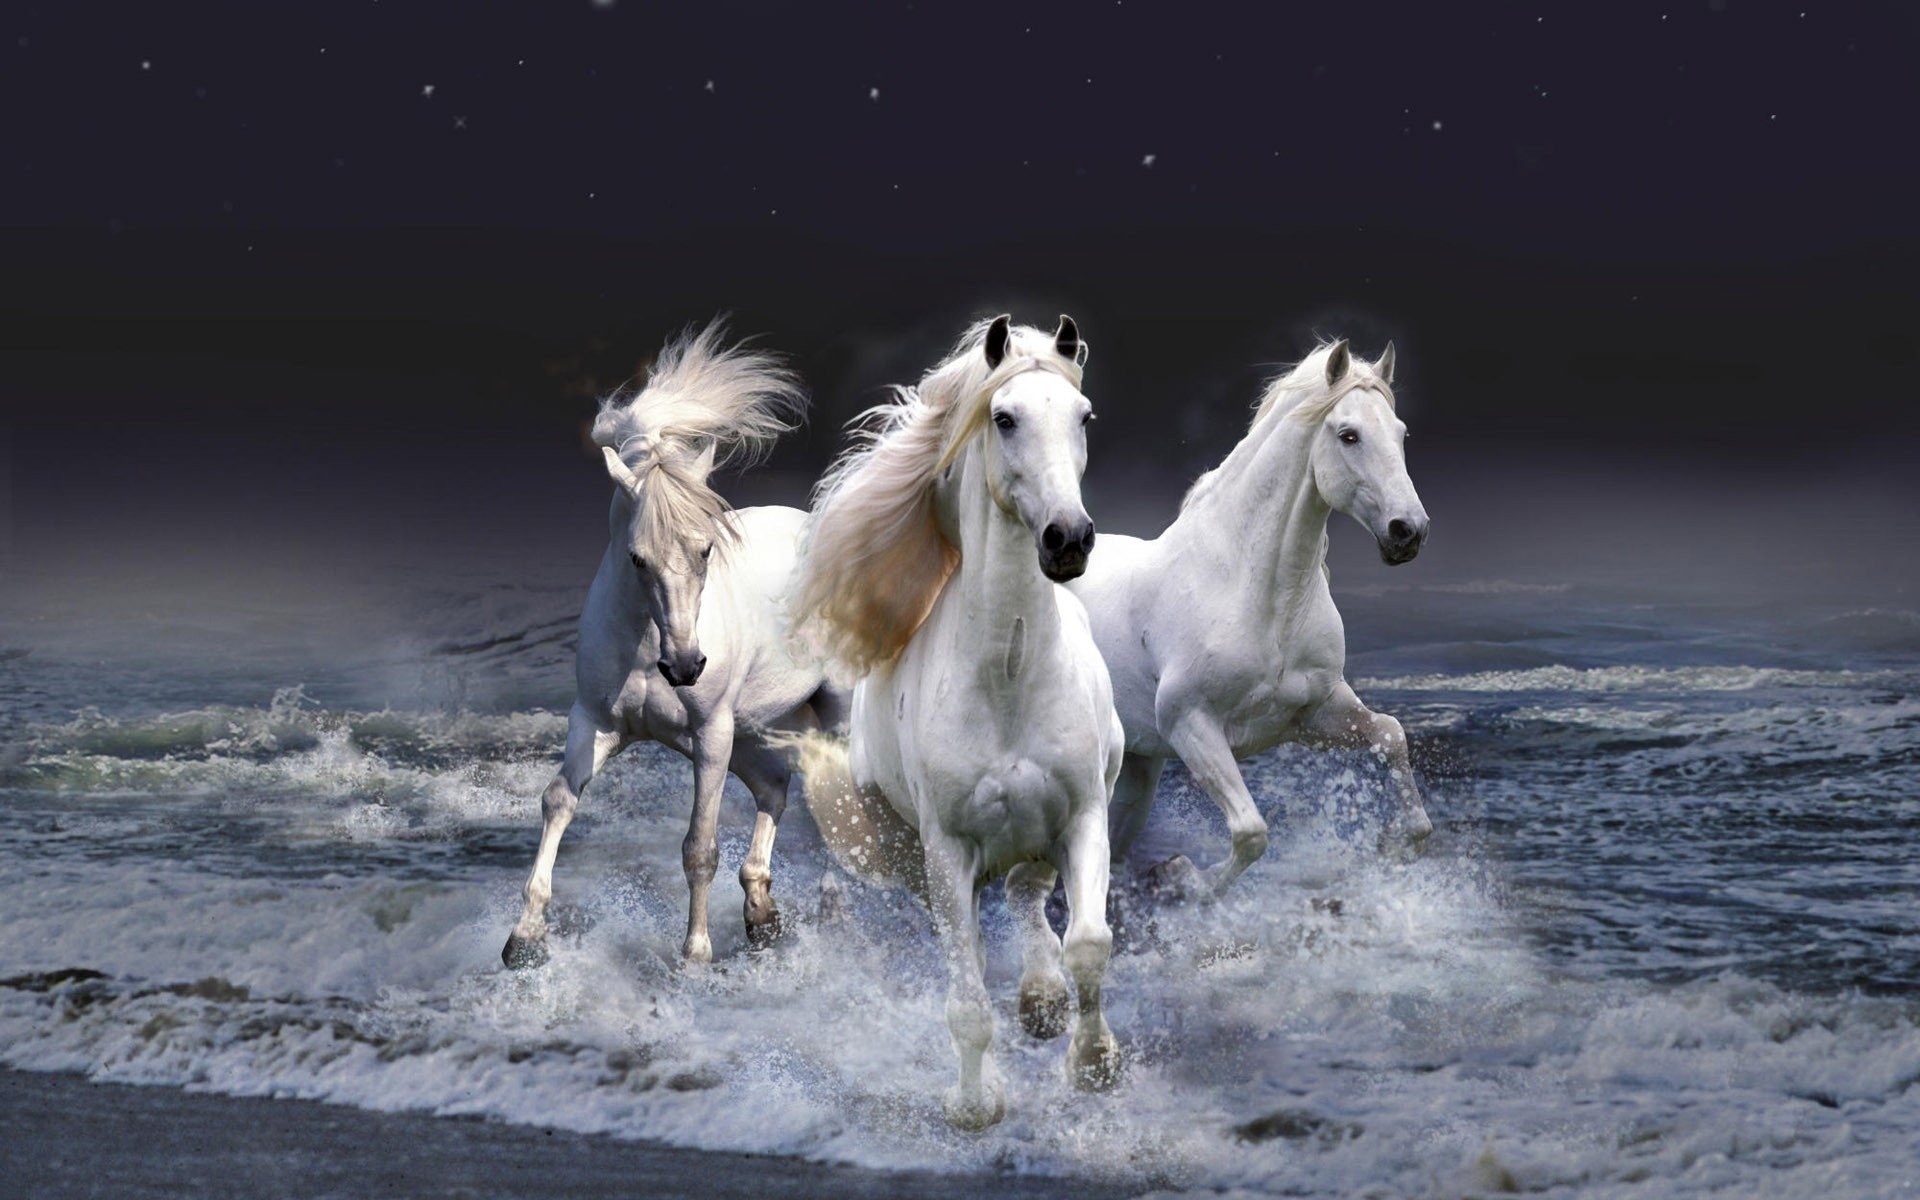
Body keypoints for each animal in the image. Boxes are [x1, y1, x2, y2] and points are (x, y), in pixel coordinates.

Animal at [501, 320, 848, 969]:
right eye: (637, 557)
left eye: (706, 548)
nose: (685, 666)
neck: (645, 647)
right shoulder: (597, 723)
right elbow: (558, 800)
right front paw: (523, 940)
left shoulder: (709, 734)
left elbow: (699, 846)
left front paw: (695, 957)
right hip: (754, 728)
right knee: (776, 786)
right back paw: (762, 915)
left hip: (826, 714)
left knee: (840, 800)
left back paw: (830, 909)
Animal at [787, 314, 1125, 1131]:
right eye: (1003, 418)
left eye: (1084, 417)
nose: (1068, 538)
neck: (1008, 675)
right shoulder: (946, 851)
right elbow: (967, 998)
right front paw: (976, 1105)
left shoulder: (1083, 814)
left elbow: (1088, 943)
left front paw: (1094, 1064)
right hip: (913, 854)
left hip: (1042, 832)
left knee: (1029, 896)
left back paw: (1042, 1001)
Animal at [1067, 339, 1433, 899]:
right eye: (1348, 435)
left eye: (1401, 432)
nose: (1408, 531)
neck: (1257, 596)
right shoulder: (1191, 724)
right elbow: (1251, 832)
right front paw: (1182, 878)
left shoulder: (1314, 714)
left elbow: (1391, 736)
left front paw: (1393, 846)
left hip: (1137, 769)